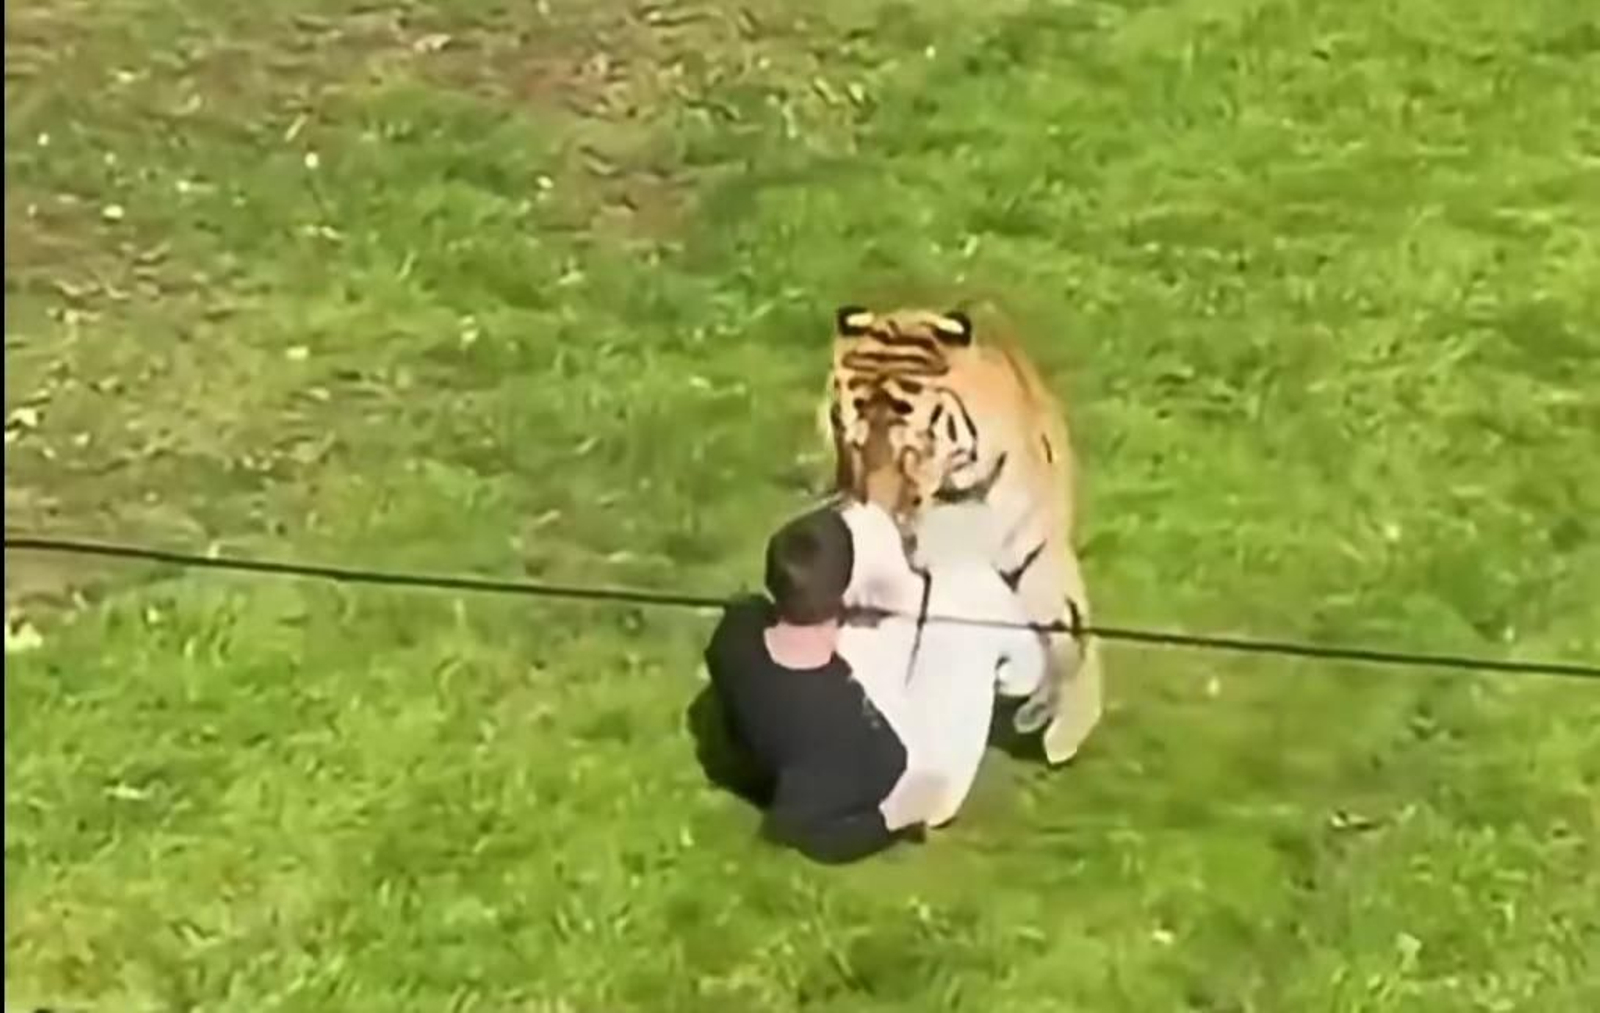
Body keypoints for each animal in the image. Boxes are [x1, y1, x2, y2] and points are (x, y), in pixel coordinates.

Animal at [818, 302, 1103, 766]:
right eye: (853, 443)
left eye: (911, 450)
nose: (876, 509)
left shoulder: (1034, 550)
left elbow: (1070, 632)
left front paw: (1066, 728)